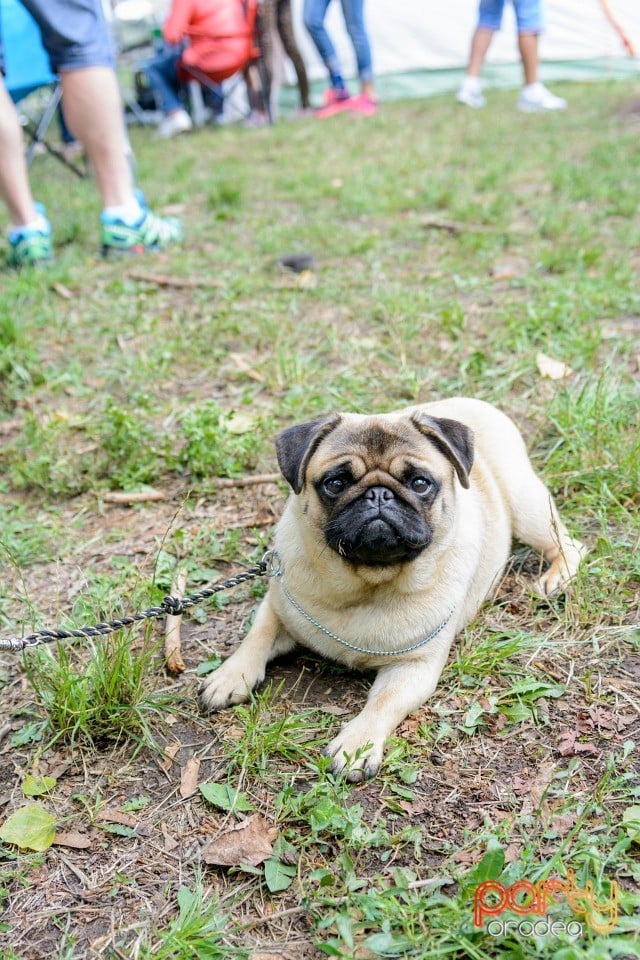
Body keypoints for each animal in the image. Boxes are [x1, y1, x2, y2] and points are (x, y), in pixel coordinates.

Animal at [201, 398, 584, 780]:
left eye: (420, 483)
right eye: (335, 483)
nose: (378, 494)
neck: (366, 586)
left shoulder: (415, 667)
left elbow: (383, 702)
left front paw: (357, 744)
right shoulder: (279, 603)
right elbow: (258, 635)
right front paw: (230, 675)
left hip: (527, 509)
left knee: (570, 544)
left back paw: (555, 579)